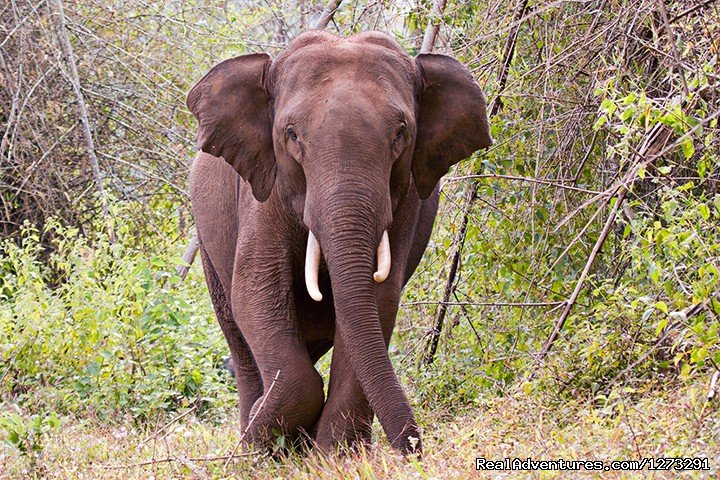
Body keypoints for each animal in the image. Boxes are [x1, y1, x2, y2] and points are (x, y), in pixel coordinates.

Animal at [186, 30, 492, 454]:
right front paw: (266, 448)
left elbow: (378, 299)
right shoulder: (262, 191)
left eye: (401, 134)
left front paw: (335, 456)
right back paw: (254, 438)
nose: (414, 448)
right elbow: (256, 291)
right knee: (239, 340)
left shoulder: (406, 198)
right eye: (292, 135)